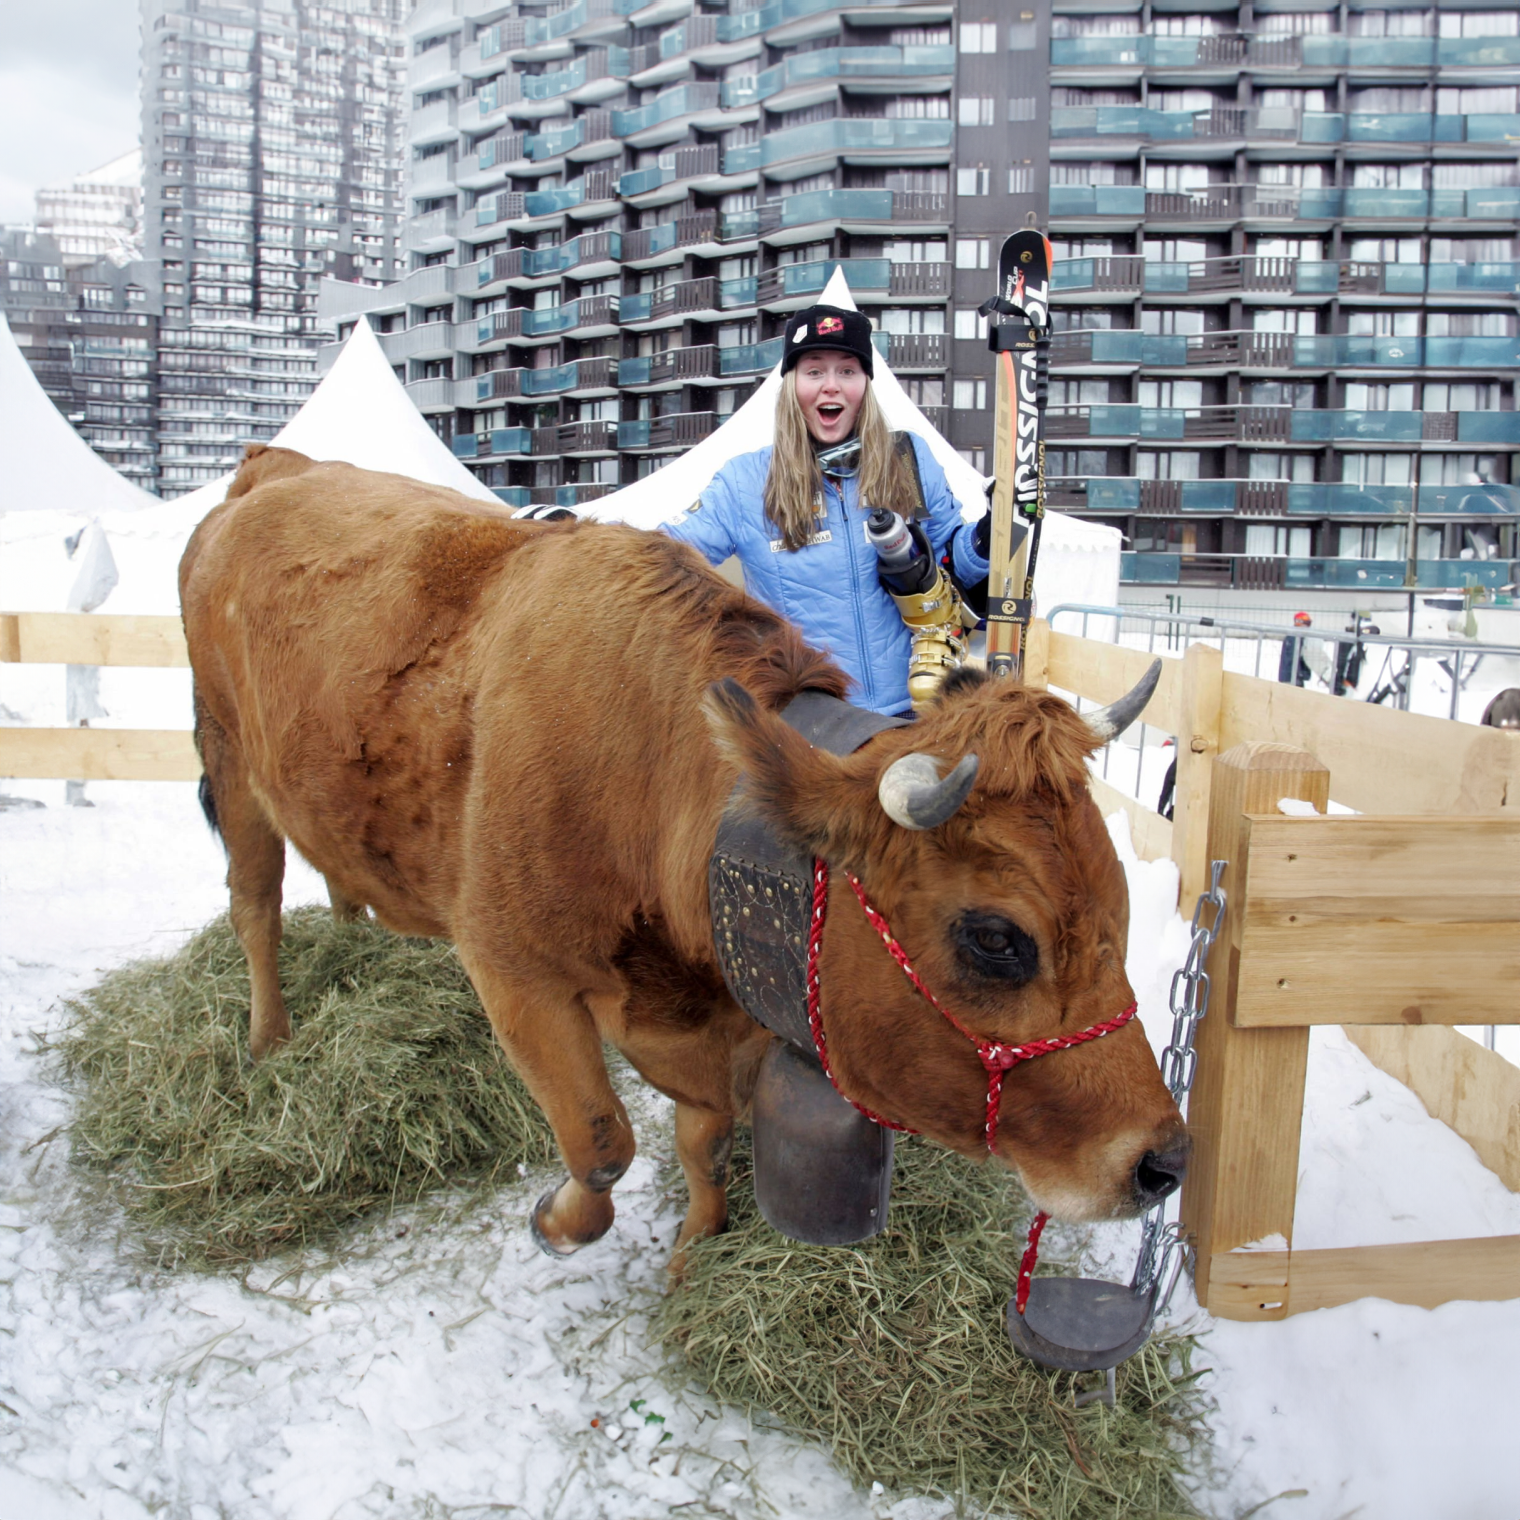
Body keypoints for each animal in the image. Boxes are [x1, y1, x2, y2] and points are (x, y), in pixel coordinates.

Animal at [180, 443, 1185, 1264]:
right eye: (996, 939)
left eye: (1121, 904)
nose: (1163, 1160)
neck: (649, 771)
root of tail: (275, 468)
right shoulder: (514, 970)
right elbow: (602, 1141)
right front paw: (562, 1221)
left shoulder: (721, 1007)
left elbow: (703, 1140)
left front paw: (695, 1246)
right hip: (228, 757)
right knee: (254, 906)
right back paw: (267, 1040)